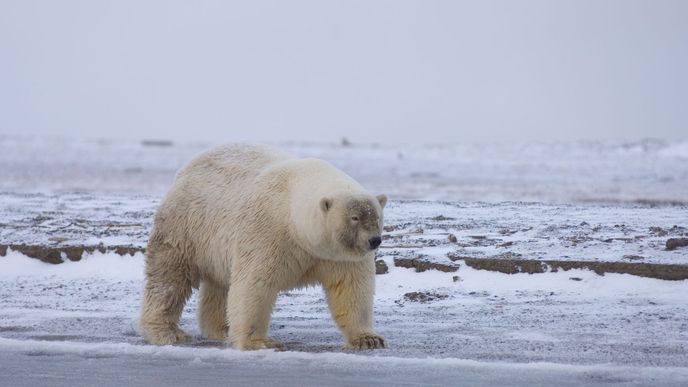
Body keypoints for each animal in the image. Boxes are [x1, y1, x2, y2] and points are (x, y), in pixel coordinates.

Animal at [140, 145, 388, 352]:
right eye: (355, 218)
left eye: (377, 217)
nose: (374, 240)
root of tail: (186, 168)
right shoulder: (269, 233)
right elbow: (254, 285)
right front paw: (259, 342)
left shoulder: (339, 256)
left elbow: (352, 289)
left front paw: (368, 339)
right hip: (186, 226)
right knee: (169, 278)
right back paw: (166, 332)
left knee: (219, 285)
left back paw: (222, 328)